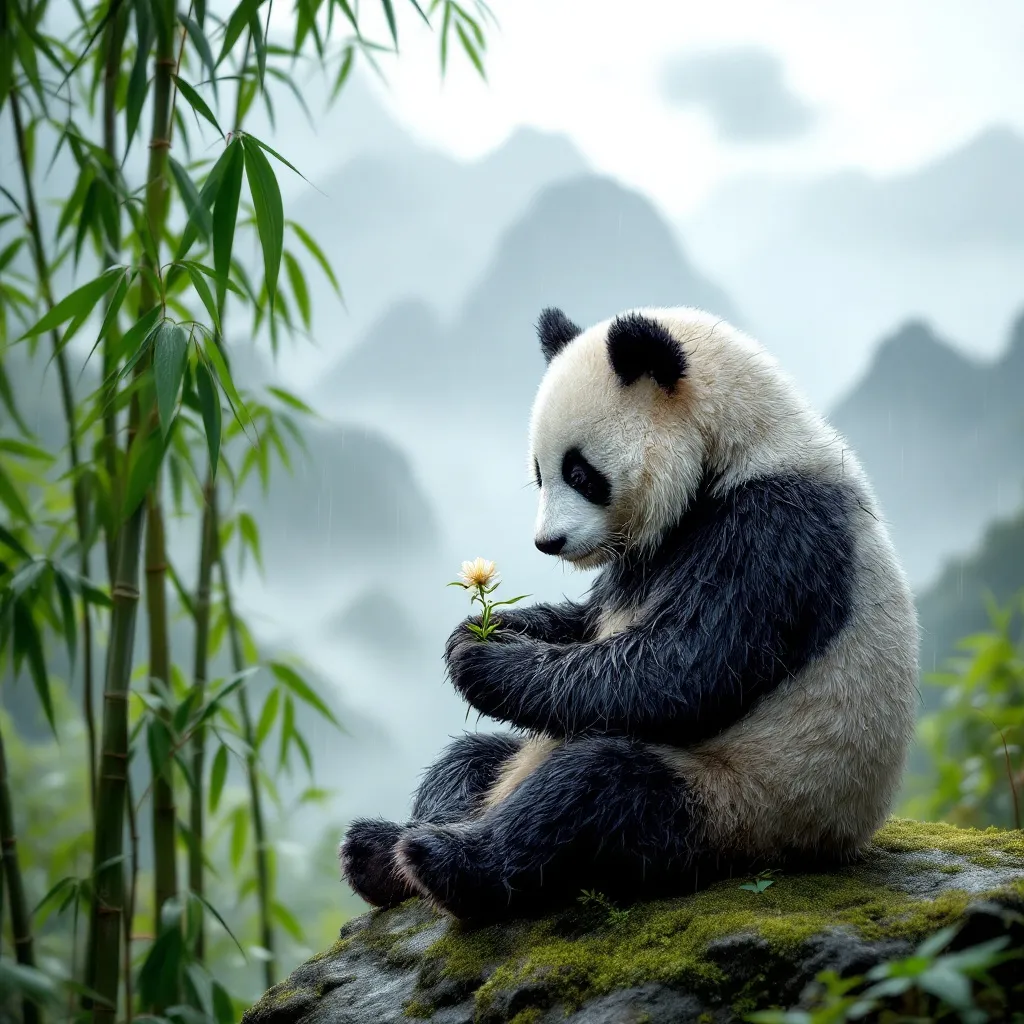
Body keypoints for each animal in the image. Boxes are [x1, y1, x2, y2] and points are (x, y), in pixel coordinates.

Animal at [339, 305, 919, 924]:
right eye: (539, 473)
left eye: (581, 473)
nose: (548, 542)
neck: (744, 444)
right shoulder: (647, 555)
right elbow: (588, 620)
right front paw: (474, 632)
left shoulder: (775, 531)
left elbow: (680, 668)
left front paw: (485, 661)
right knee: (469, 760)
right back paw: (380, 851)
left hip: (741, 806)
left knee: (596, 791)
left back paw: (447, 863)